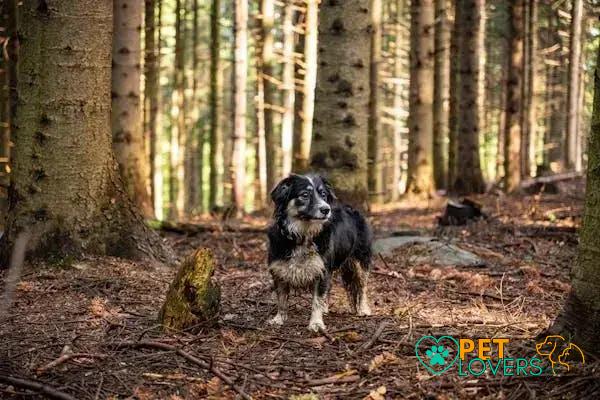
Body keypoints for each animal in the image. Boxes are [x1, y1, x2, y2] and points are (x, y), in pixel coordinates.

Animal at [266, 173, 370, 332]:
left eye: (323, 194)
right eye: (305, 195)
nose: (326, 209)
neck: (303, 235)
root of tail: (352, 209)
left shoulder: (322, 270)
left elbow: (317, 299)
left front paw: (316, 323)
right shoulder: (279, 270)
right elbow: (282, 298)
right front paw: (279, 319)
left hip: (360, 260)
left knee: (362, 286)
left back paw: (363, 309)